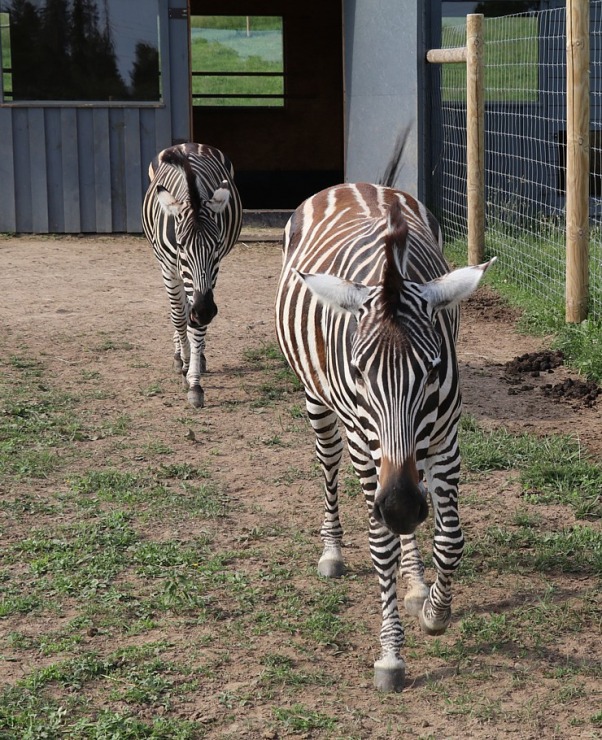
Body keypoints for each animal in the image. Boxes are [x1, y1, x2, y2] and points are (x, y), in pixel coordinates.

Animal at [142, 142, 241, 408]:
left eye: (217, 246)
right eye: (181, 245)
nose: (205, 310)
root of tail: (189, 144)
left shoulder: (211, 275)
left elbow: (195, 325)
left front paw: (195, 381)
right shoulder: (169, 268)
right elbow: (179, 316)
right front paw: (185, 363)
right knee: (181, 311)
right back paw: (180, 355)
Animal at [274, 182, 494, 692]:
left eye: (432, 369)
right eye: (359, 371)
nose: (400, 506)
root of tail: (353, 184)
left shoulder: (445, 439)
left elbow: (449, 539)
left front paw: (435, 611)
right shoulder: (366, 444)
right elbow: (381, 545)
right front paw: (391, 655)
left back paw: (415, 580)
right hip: (320, 406)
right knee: (328, 465)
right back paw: (333, 551)